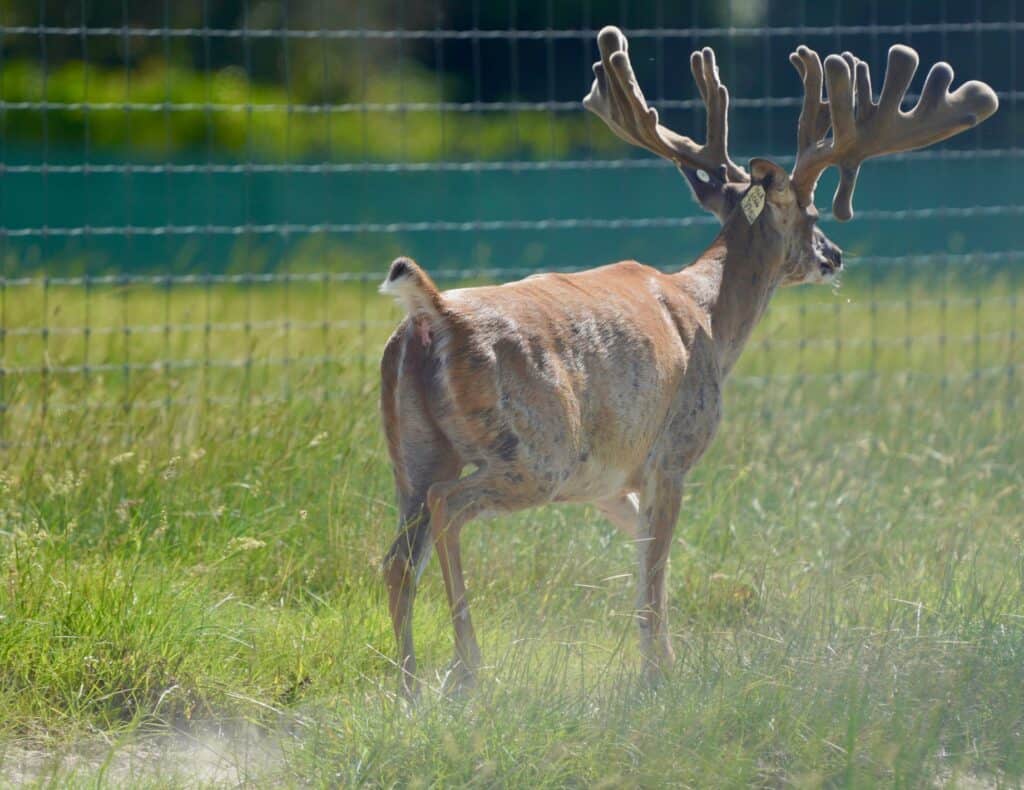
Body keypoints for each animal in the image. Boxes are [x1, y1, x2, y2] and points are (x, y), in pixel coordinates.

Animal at [378, 26, 998, 698]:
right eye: (810, 213)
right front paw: (660, 676)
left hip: (415, 453)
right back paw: (467, 671)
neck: (709, 317)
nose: (835, 254)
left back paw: (409, 687)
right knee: (448, 508)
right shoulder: (673, 452)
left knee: (396, 557)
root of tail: (435, 315)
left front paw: (665, 658)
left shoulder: (608, 480)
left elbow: (646, 557)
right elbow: (652, 573)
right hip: (536, 451)